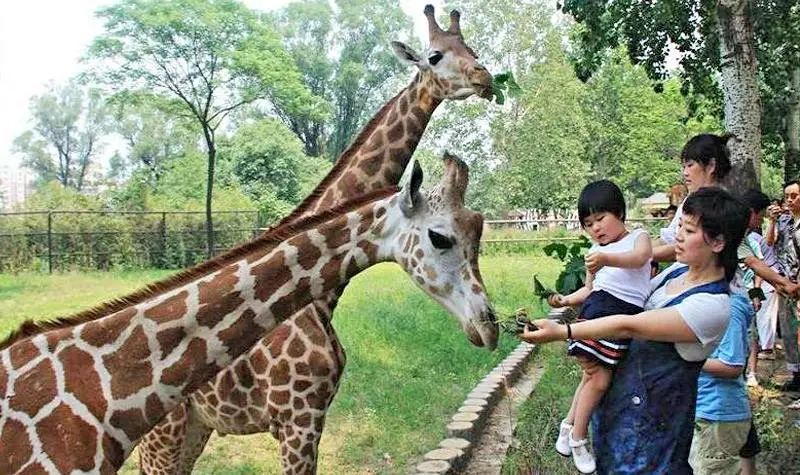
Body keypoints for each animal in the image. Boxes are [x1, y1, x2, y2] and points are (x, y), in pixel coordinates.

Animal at [138, 4, 496, 475]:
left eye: (470, 47)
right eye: (435, 55)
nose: (485, 77)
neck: (322, 298)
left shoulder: (311, 416)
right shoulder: (297, 418)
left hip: (197, 425)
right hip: (163, 432)